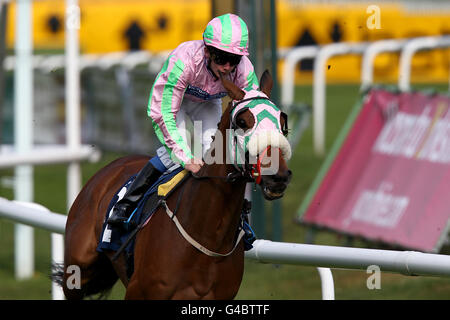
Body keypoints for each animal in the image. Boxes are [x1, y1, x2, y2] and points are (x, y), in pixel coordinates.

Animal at [55, 70, 292, 300]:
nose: (278, 176)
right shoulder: (138, 291)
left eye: (282, 122)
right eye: (242, 122)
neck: (207, 235)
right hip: (78, 272)